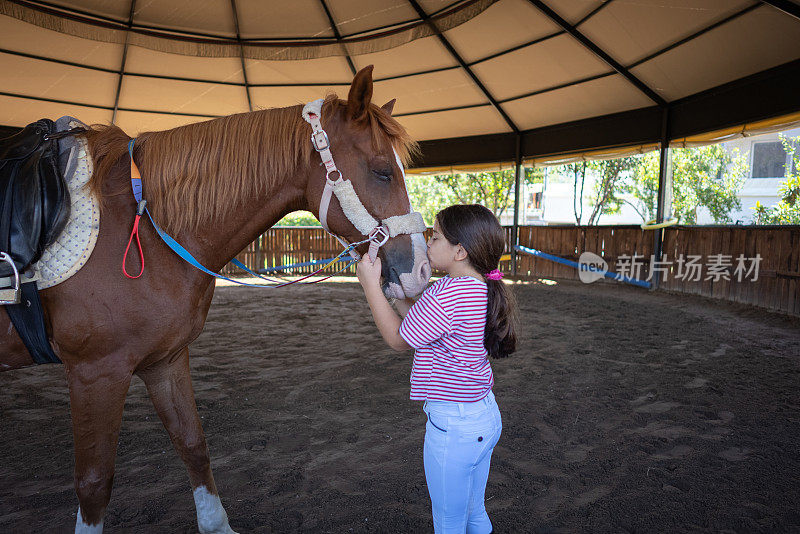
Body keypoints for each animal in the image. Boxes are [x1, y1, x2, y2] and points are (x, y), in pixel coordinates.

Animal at [0, 68, 432, 534]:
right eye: (382, 171)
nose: (423, 271)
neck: (143, 223)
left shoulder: (165, 359)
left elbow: (193, 444)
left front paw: (214, 522)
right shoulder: (95, 372)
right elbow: (95, 482)